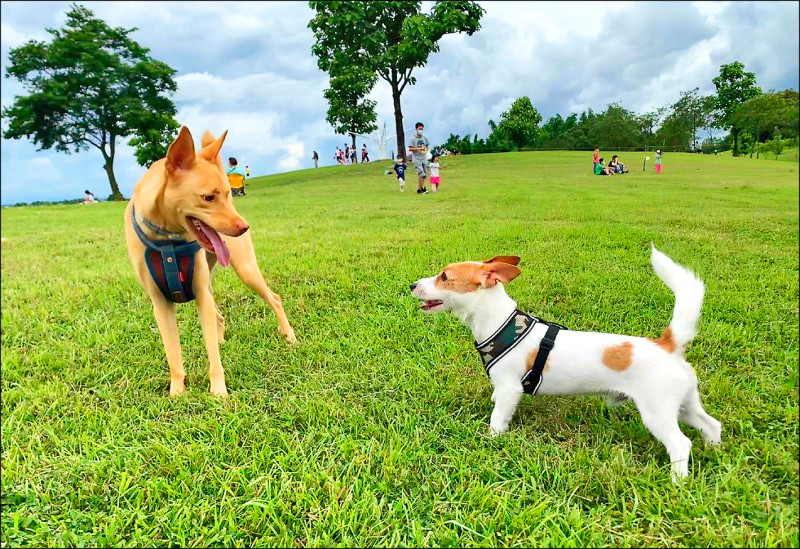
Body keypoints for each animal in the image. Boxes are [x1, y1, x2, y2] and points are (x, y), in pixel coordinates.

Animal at [125, 126, 296, 396]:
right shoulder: (161, 303)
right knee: (219, 317)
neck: (168, 242)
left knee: (274, 299)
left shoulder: (200, 295)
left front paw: (219, 393)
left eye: (227, 193)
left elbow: (213, 358)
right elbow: (173, 355)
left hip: (245, 269)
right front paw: (177, 393)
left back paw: (288, 335)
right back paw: (221, 339)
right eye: (208, 197)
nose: (244, 227)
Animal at [412, 245, 724, 480]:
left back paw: (677, 481)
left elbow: (498, 419)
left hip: (657, 412)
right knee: (711, 425)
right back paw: (715, 452)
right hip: (684, 405)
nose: (412, 284)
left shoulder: (510, 389)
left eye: (444, 277)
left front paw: (491, 441)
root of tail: (668, 346)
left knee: (680, 443)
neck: (502, 325)